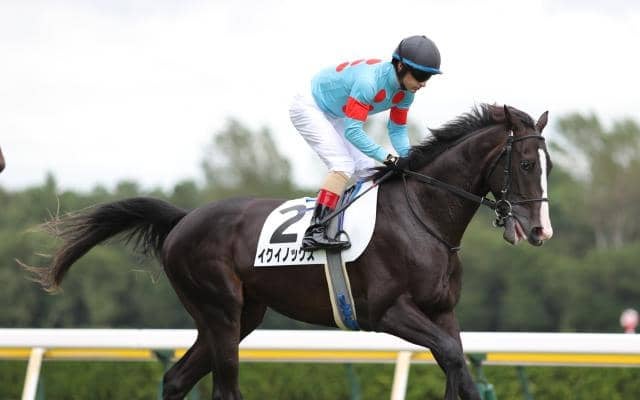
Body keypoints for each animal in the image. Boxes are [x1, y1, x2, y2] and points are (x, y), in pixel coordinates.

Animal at [25, 104, 553, 400]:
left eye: (548, 163)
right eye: (527, 163)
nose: (540, 229)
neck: (421, 214)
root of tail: (183, 219)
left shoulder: (442, 311)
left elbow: (457, 365)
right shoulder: (388, 311)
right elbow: (450, 357)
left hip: (241, 315)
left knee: (177, 379)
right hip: (220, 309)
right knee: (224, 387)